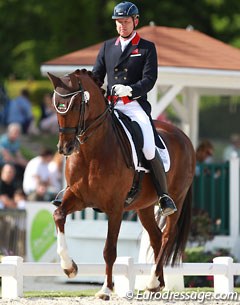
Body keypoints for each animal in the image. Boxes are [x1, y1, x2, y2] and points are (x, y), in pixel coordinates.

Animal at [47, 69, 196, 300]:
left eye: (78, 105)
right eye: (57, 107)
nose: (65, 148)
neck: (91, 152)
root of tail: (183, 135)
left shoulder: (115, 208)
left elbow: (109, 250)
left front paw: (106, 289)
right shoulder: (79, 197)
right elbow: (58, 215)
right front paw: (69, 267)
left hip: (176, 200)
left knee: (166, 236)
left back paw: (153, 281)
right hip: (144, 206)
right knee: (155, 237)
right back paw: (157, 283)